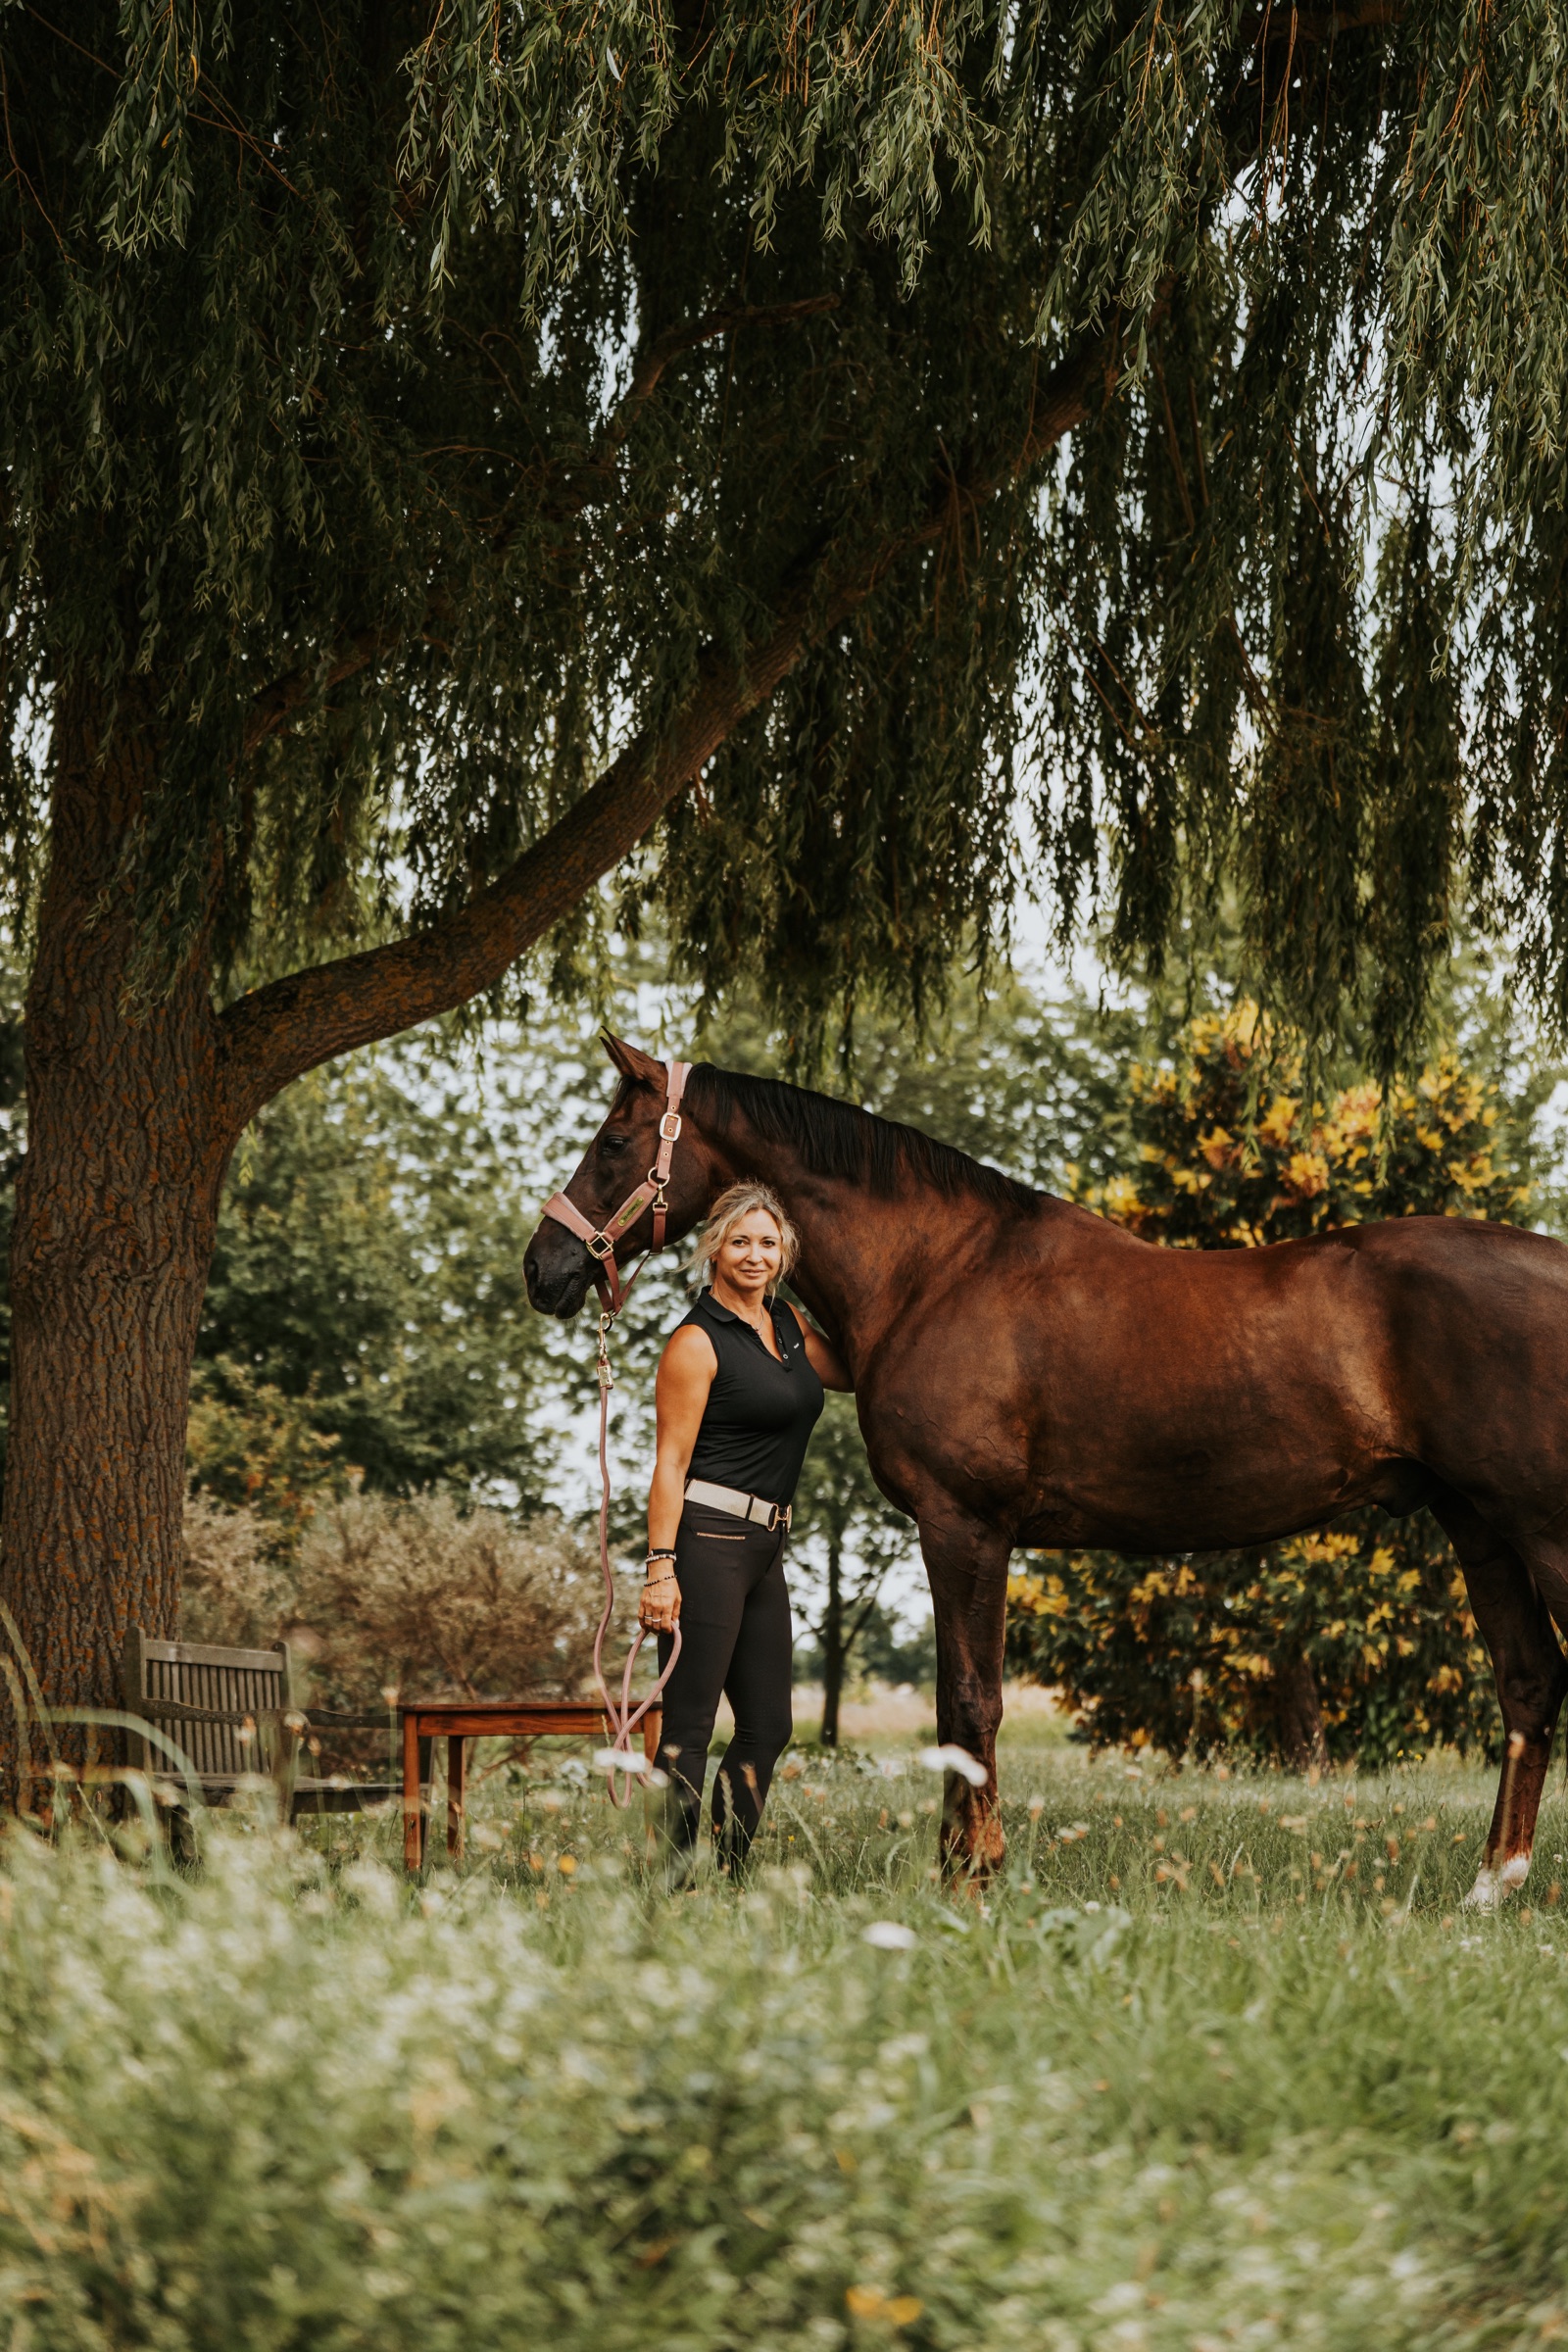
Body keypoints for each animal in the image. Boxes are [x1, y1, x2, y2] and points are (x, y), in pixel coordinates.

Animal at [523, 1033, 1568, 1901]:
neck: (937, 1270)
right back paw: (1492, 1887)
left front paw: (969, 1876)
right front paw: (966, 1866)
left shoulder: (964, 1527)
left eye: (613, 1142)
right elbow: (961, 1711)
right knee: (1528, 1684)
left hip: (1541, 1530)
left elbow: (968, 1703)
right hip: (1479, 1527)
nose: (544, 1269)